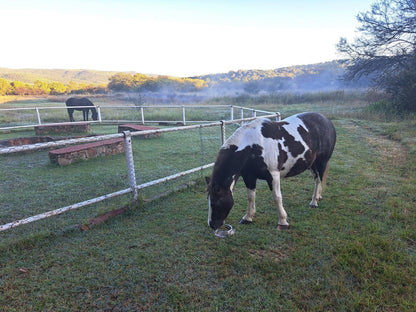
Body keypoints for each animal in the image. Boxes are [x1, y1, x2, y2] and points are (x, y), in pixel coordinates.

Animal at [206, 113, 336, 230]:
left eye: (216, 203)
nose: (212, 225)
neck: (253, 146)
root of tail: (326, 121)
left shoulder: (273, 175)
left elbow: (277, 197)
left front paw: (283, 222)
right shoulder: (249, 176)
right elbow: (250, 196)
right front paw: (248, 217)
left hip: (321, 162)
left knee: (319, 180)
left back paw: (314, 202)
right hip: (312, 164)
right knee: (317, 179)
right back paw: (318, 196)